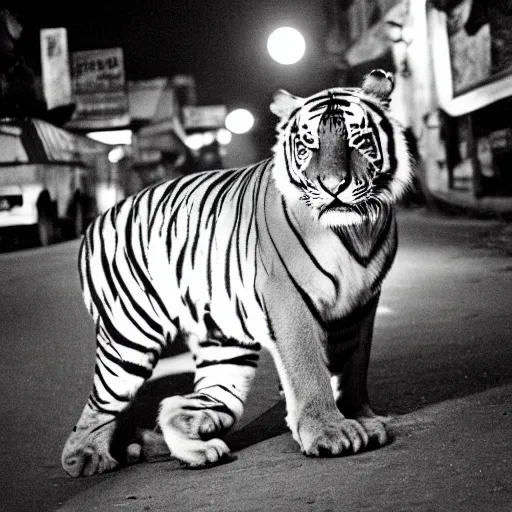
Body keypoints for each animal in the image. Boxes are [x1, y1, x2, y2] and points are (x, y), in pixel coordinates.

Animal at [61, 68, 412, 476]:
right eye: (307, 146)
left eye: (358, 140)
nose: (332, 186)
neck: (356, 229)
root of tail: (96, 220)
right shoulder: (289, 295)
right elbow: (308, 366)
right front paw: (329, 431)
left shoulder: (362, 301)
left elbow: (353, 367)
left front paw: (363, 419)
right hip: (129, 336)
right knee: (98, 407)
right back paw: (89, 458)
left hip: (223, 345)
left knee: (175, 405)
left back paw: (193, 450)